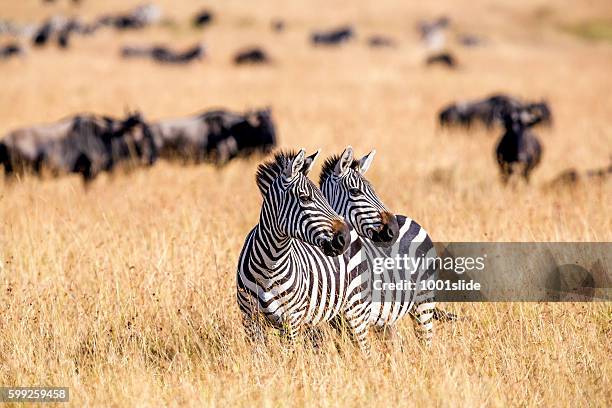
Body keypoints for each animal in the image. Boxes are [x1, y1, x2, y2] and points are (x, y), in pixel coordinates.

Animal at [237, 148, 372, 352]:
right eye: (305, 198)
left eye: (322, 197)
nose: (344, 239)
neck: (270, 264)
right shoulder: (250, 319)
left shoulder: (290, 321)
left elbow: (289, 357)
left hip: (354, 308)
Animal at [320, 147, 454, 344]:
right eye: (355, 191)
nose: (393, 229)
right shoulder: (337, 321)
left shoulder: (359, 313)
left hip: (423, 301)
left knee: (425, 340)